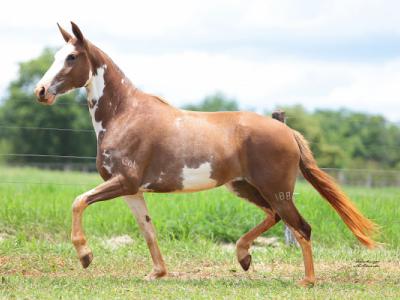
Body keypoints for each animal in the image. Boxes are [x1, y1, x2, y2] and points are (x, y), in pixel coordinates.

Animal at [34, 21, 378, 286]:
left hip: (275, 189)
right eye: (56, 55)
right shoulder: (132, 190)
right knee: (276, 217)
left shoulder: (123, 181)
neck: (124, 115)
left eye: (72, 57)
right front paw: (157, 273)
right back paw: (244, 257)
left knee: (301, 227)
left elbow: (78, 201)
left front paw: (85, 256)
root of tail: (288, 133)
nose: (41, 91)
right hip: (244, 186)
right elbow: (147, 229)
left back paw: (306, 280)